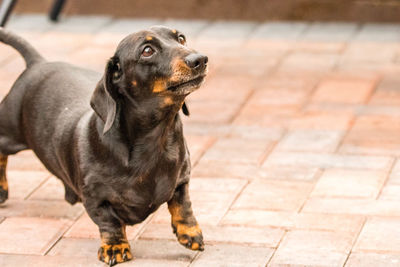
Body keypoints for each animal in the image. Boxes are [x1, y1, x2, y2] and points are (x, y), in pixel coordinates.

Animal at [0, 24, 208, 266]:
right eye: (147, 50)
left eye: (181, 38)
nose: (200, 59)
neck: (155, 140)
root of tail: (37, 63)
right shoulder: (96, 199)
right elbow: (110, 222)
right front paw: (115, 246)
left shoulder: (182, 178)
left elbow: (182, 203)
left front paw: (190, 232)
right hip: (10, 132)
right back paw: (2, 189)